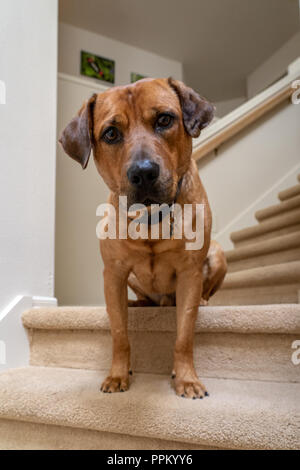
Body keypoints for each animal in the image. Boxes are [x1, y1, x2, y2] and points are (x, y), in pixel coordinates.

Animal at [59, 78, 226, 400]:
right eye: (111, 133)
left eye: (164, 119)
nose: (144, 172)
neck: (151, 218)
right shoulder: (113, 274)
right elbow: (119, 334)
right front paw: (117, 374)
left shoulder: (190, 273)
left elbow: (184, 336)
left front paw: (186, 379)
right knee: (141, 300)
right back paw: (139, 305)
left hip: (217, 255)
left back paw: (203, 301)